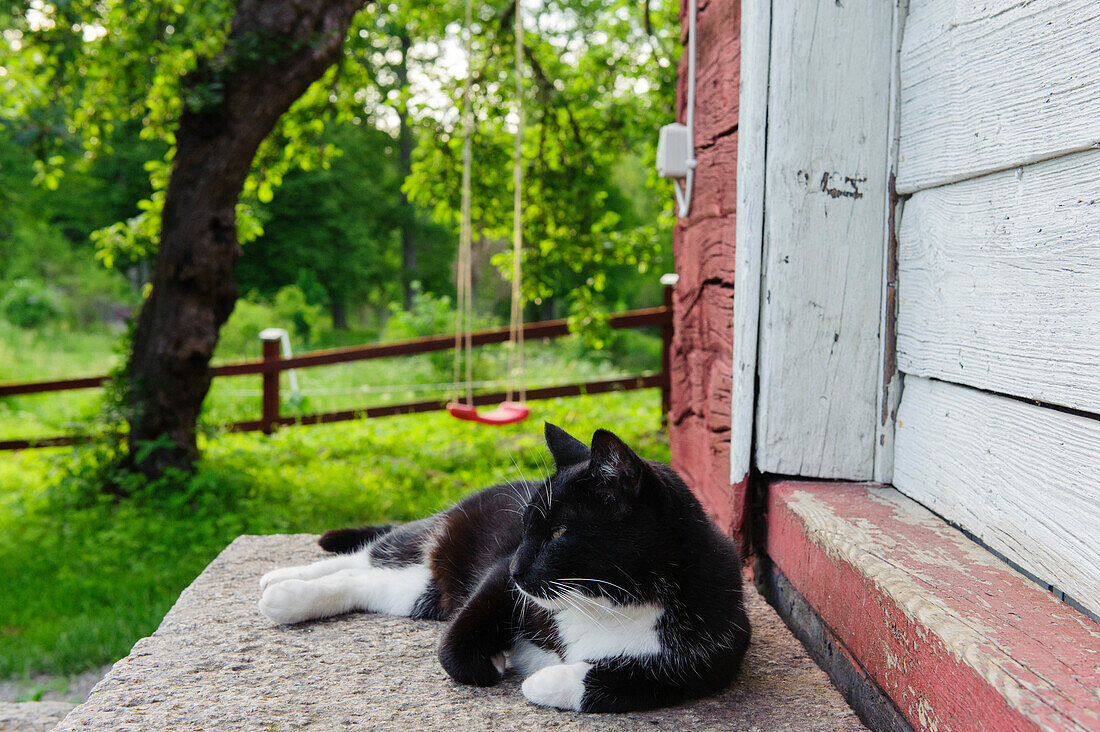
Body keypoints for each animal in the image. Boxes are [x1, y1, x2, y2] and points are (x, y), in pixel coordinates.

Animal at [259, 422, 748, 708]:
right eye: (526, 526)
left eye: (559, 533)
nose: (517, 567)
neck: (608, 600)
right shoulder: (499, 583)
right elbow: (459, 637)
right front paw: (489, 663)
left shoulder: (714, 652)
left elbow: (638, 680)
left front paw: (547, 680)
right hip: (446, 536)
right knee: (371, 553)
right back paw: (279, 580)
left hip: (422, 593)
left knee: (365, 581)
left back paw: (285, 597)